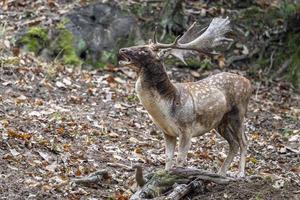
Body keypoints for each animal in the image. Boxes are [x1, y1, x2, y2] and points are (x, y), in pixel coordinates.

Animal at [118, 17, 252, 177]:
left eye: (145, 50)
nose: (122, 49)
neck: (167, 109)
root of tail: (249, 82)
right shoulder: (167, 131)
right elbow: (168, 157)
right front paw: (165, 175)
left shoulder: (187, 128)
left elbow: (180, 160)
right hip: (220, 122)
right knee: (234, 143)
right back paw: (221, 173)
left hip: (239, 112)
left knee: (244, 141)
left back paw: (240, 174)